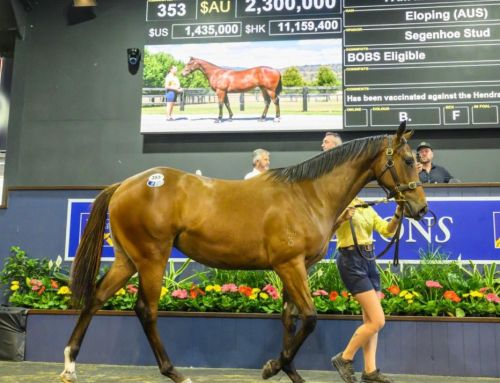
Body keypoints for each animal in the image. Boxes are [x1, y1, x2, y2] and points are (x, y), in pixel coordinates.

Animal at [59, 122, 426, 383]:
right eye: (409, 160)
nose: (420, 208)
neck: (307, 195)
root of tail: (123, 185)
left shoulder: (294, 268)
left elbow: (290, 318)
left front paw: (288, 371)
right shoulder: (289, 265)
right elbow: (309, 318)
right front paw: (274, 366)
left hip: (127, 259)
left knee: (96, 297)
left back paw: (70, 364)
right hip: (152, 258)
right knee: (145, 310)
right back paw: (175, 372)